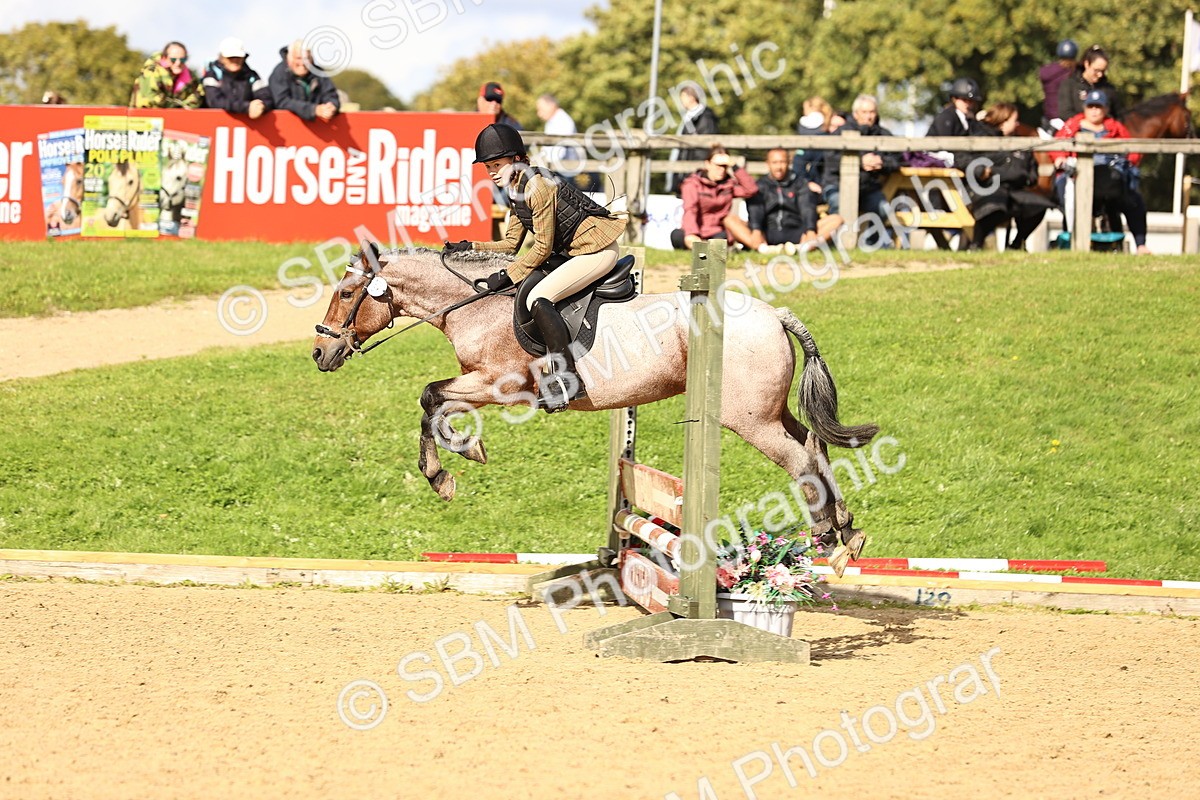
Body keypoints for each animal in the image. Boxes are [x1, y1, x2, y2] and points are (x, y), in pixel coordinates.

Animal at [312, 244, 881, 574]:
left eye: (346, 292)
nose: (319, 353)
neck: (475, 304)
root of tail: (775, 313)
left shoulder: (500, 385)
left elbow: (432, 396)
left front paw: (448, 469)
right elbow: (433, 399)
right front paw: (459, 456)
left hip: (748, 420)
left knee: (799, 459)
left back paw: (824, 532)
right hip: (767, 411)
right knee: (813, 445)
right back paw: (846, 531)